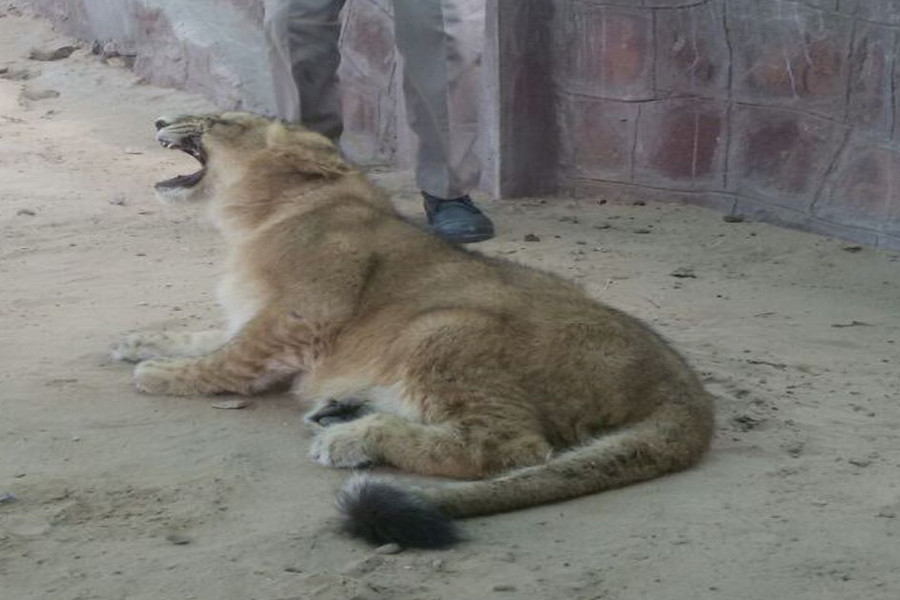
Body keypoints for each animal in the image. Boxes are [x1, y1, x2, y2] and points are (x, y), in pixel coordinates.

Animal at [112, 112, 715, 548]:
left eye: (217, 121)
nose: (160, 117)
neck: (258, 219)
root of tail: (682, 382)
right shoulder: (253, 314)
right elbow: (205, 335)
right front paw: (136, 341)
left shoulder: (298, 317)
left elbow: (227, 360)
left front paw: (160, 374)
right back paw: (342, 411)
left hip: (441, 327)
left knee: (512, 449)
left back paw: (349, 437)